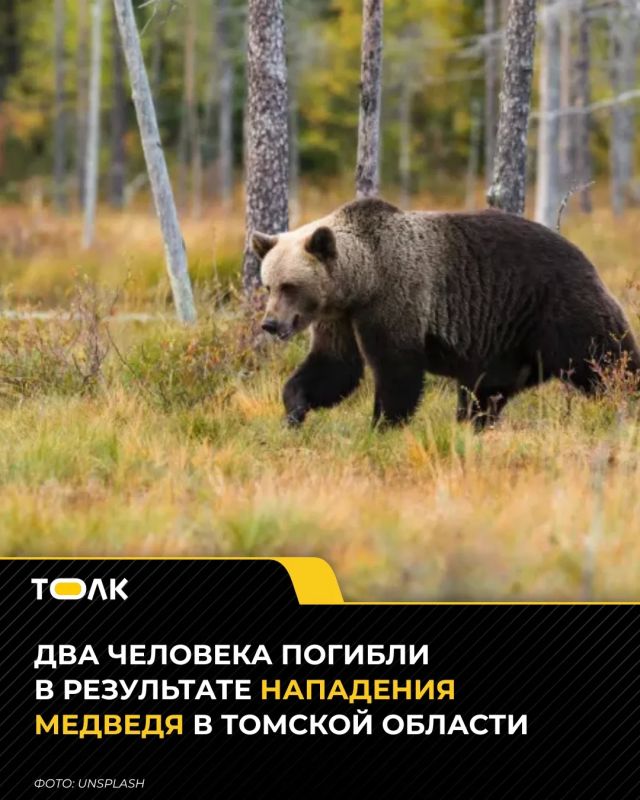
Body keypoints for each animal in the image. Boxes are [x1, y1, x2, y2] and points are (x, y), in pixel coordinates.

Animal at [252, 197, 639, 429]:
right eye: (268, 285)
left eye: (290, 286)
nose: (270, 323)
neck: (362, 281)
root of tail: (583, 255)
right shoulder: (339, 318)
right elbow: (334, 367)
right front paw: (294, 410)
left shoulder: (396, 298)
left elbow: (397, 371)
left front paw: (382, 425)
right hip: (505, 343)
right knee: (484, 392)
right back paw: (473, 424)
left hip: (557, 310)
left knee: (606, 360)